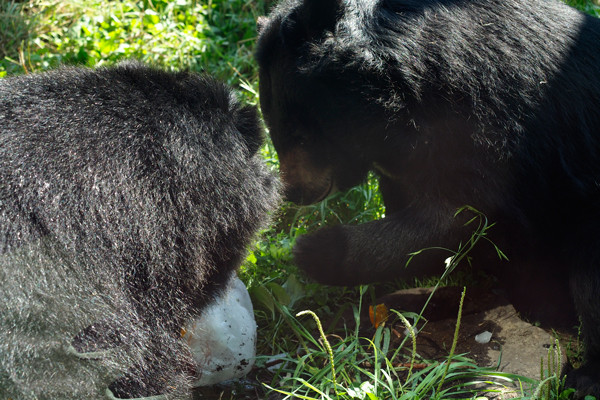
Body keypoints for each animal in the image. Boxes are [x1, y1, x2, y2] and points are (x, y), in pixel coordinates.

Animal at [255, 0, 600, 396]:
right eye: (274, 129)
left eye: (301, 134)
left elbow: (463, 215)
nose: (293, 193)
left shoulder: (479, 122)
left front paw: (312, 251)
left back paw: (584, 374)